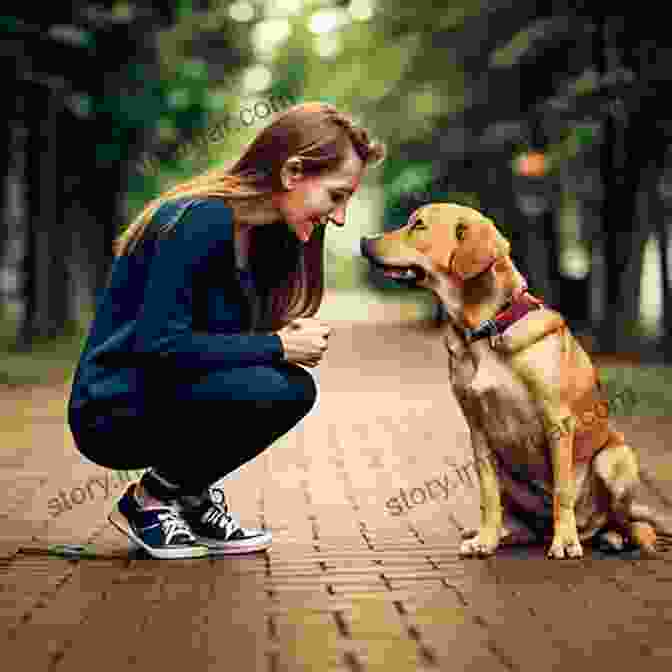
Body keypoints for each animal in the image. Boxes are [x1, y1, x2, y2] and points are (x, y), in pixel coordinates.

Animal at [362, 202, 672, 560]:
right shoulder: (478, 430)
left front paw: (565, 542)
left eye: (419, 225)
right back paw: (505, 534)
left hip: (615, 459)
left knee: (628, 522)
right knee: (523, 520)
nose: (364, 240)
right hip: (512, 477)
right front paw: (485, 540)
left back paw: (614, 538)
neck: (485, 330)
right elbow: (488, 495)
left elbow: (562, 490)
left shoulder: (557, 420)